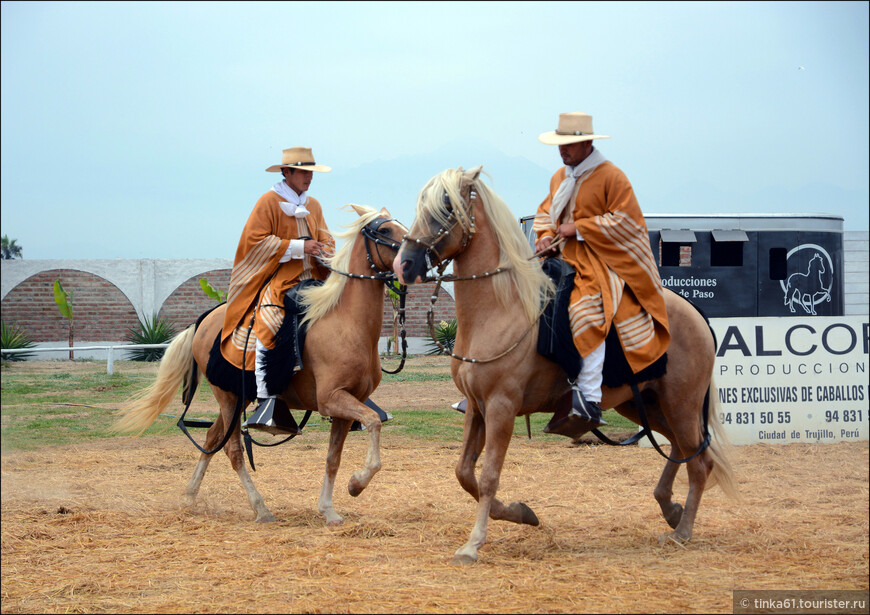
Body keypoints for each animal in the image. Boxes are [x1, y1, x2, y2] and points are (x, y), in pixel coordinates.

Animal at [115, 205, 408, 528]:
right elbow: (374, 421)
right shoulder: (332, 399)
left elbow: (334, 458)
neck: (344, 322)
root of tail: (205, 319)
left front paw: (329, 509)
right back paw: (261, 508)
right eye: (384, 230)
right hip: (228, 397)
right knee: (232, 451)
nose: (416, 255)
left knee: (212, 437)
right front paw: (357, 483)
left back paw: (189, 496)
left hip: (237, 398)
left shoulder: (348, 405)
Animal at [398, 167, 740, 564]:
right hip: (647, 405)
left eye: (447, 207)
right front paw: (521, 513)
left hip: (680, 404)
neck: (501, 308)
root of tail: (696, 313)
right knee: (681, 449)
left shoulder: (501, 407)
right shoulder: (477, 408)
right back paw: (670, 509)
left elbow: (488, 476)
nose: (404, 263)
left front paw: (473, 544)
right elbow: (464, 472)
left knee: (699, 463)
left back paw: (682, 531)